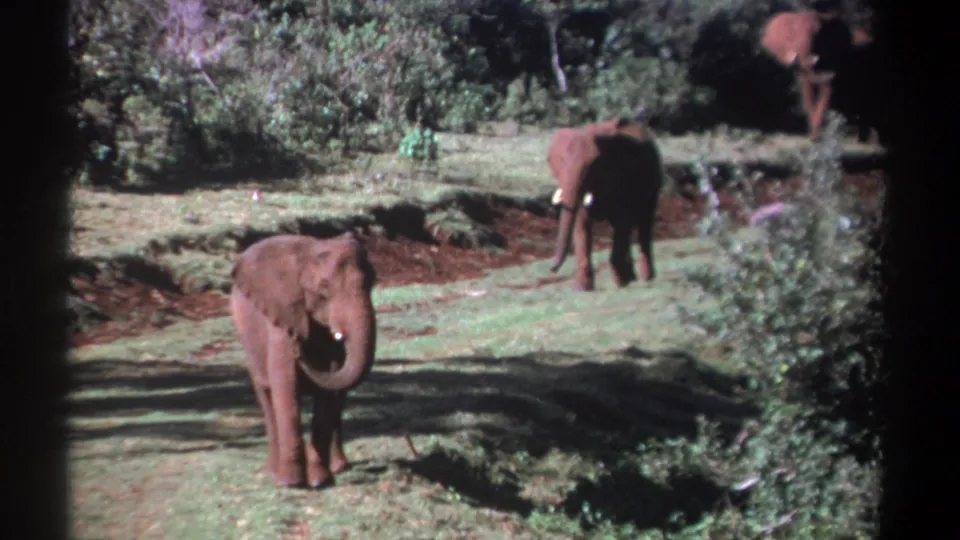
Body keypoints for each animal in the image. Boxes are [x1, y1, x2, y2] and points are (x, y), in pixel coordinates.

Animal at [229, 232, 377, 489]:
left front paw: (319, 481)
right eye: (324, 289)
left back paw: (339, 467)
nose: (299, 350)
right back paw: (273, 471)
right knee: (266, 397)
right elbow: (285, 386)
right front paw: (291, 483)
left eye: (372, 283)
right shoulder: (281, 317)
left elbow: (327, 395)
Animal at [547, 111, 664, 291]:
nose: (552, 269)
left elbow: (623, 220)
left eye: (592, 167)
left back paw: (645, 277)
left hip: (654, 181)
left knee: (644, 222)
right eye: (559, 162)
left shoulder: (621, 176)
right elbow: (581, 224)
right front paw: (581, 288)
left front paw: (621, 282)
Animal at [760, 1, 884, 143]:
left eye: (818, 34)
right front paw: (812, 137)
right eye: (793, 34)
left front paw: (816, 138)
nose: (812, 59)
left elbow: (827, 91)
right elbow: (806, 91)